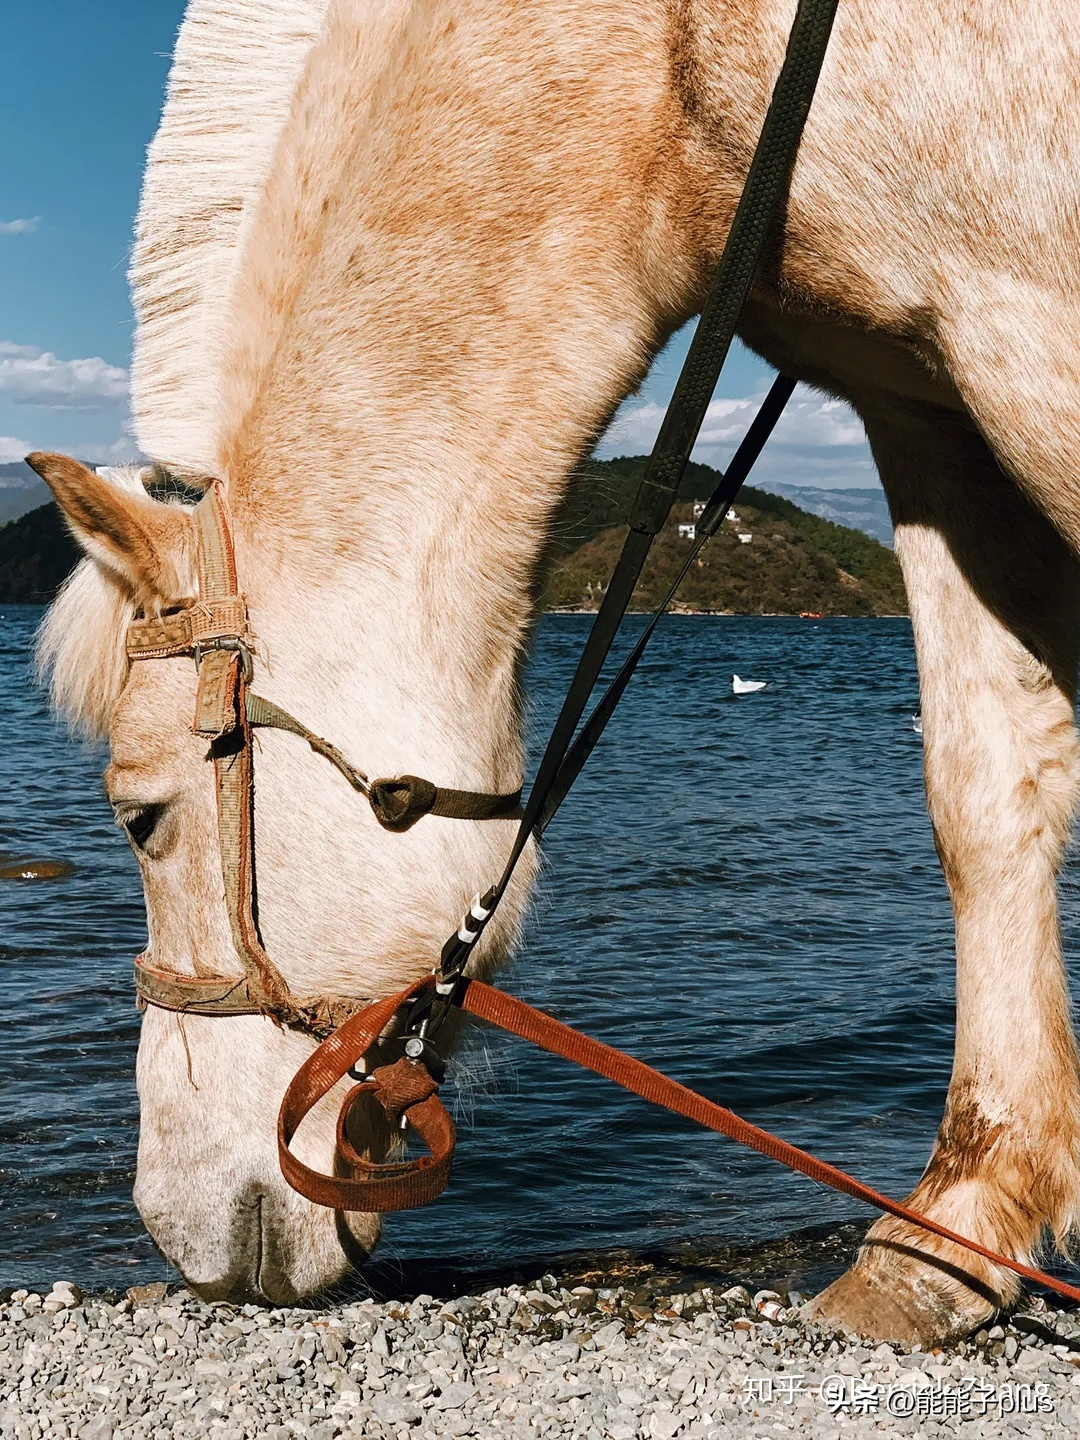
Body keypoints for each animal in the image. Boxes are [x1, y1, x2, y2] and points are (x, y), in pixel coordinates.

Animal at [27, 0, 1080, 1347]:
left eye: (140, 817)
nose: (172, 1228)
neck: (669, 70)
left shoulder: (1025, 322)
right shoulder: (926, 403)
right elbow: (984, 796)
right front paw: (952, 1229)